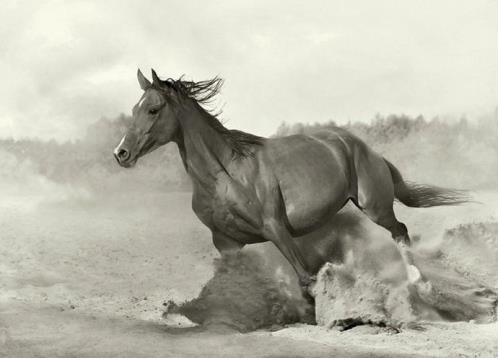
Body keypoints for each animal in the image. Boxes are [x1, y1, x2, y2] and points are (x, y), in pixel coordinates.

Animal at [114, 68, 470, 296]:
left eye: (153, 109)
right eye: (134, 108)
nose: (121, 153)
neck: (225, 174)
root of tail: (366, 148)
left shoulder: (276, 229)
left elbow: (305, 277)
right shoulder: (226, 242)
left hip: (375, 206)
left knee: (401, 232)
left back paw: (420, 284)